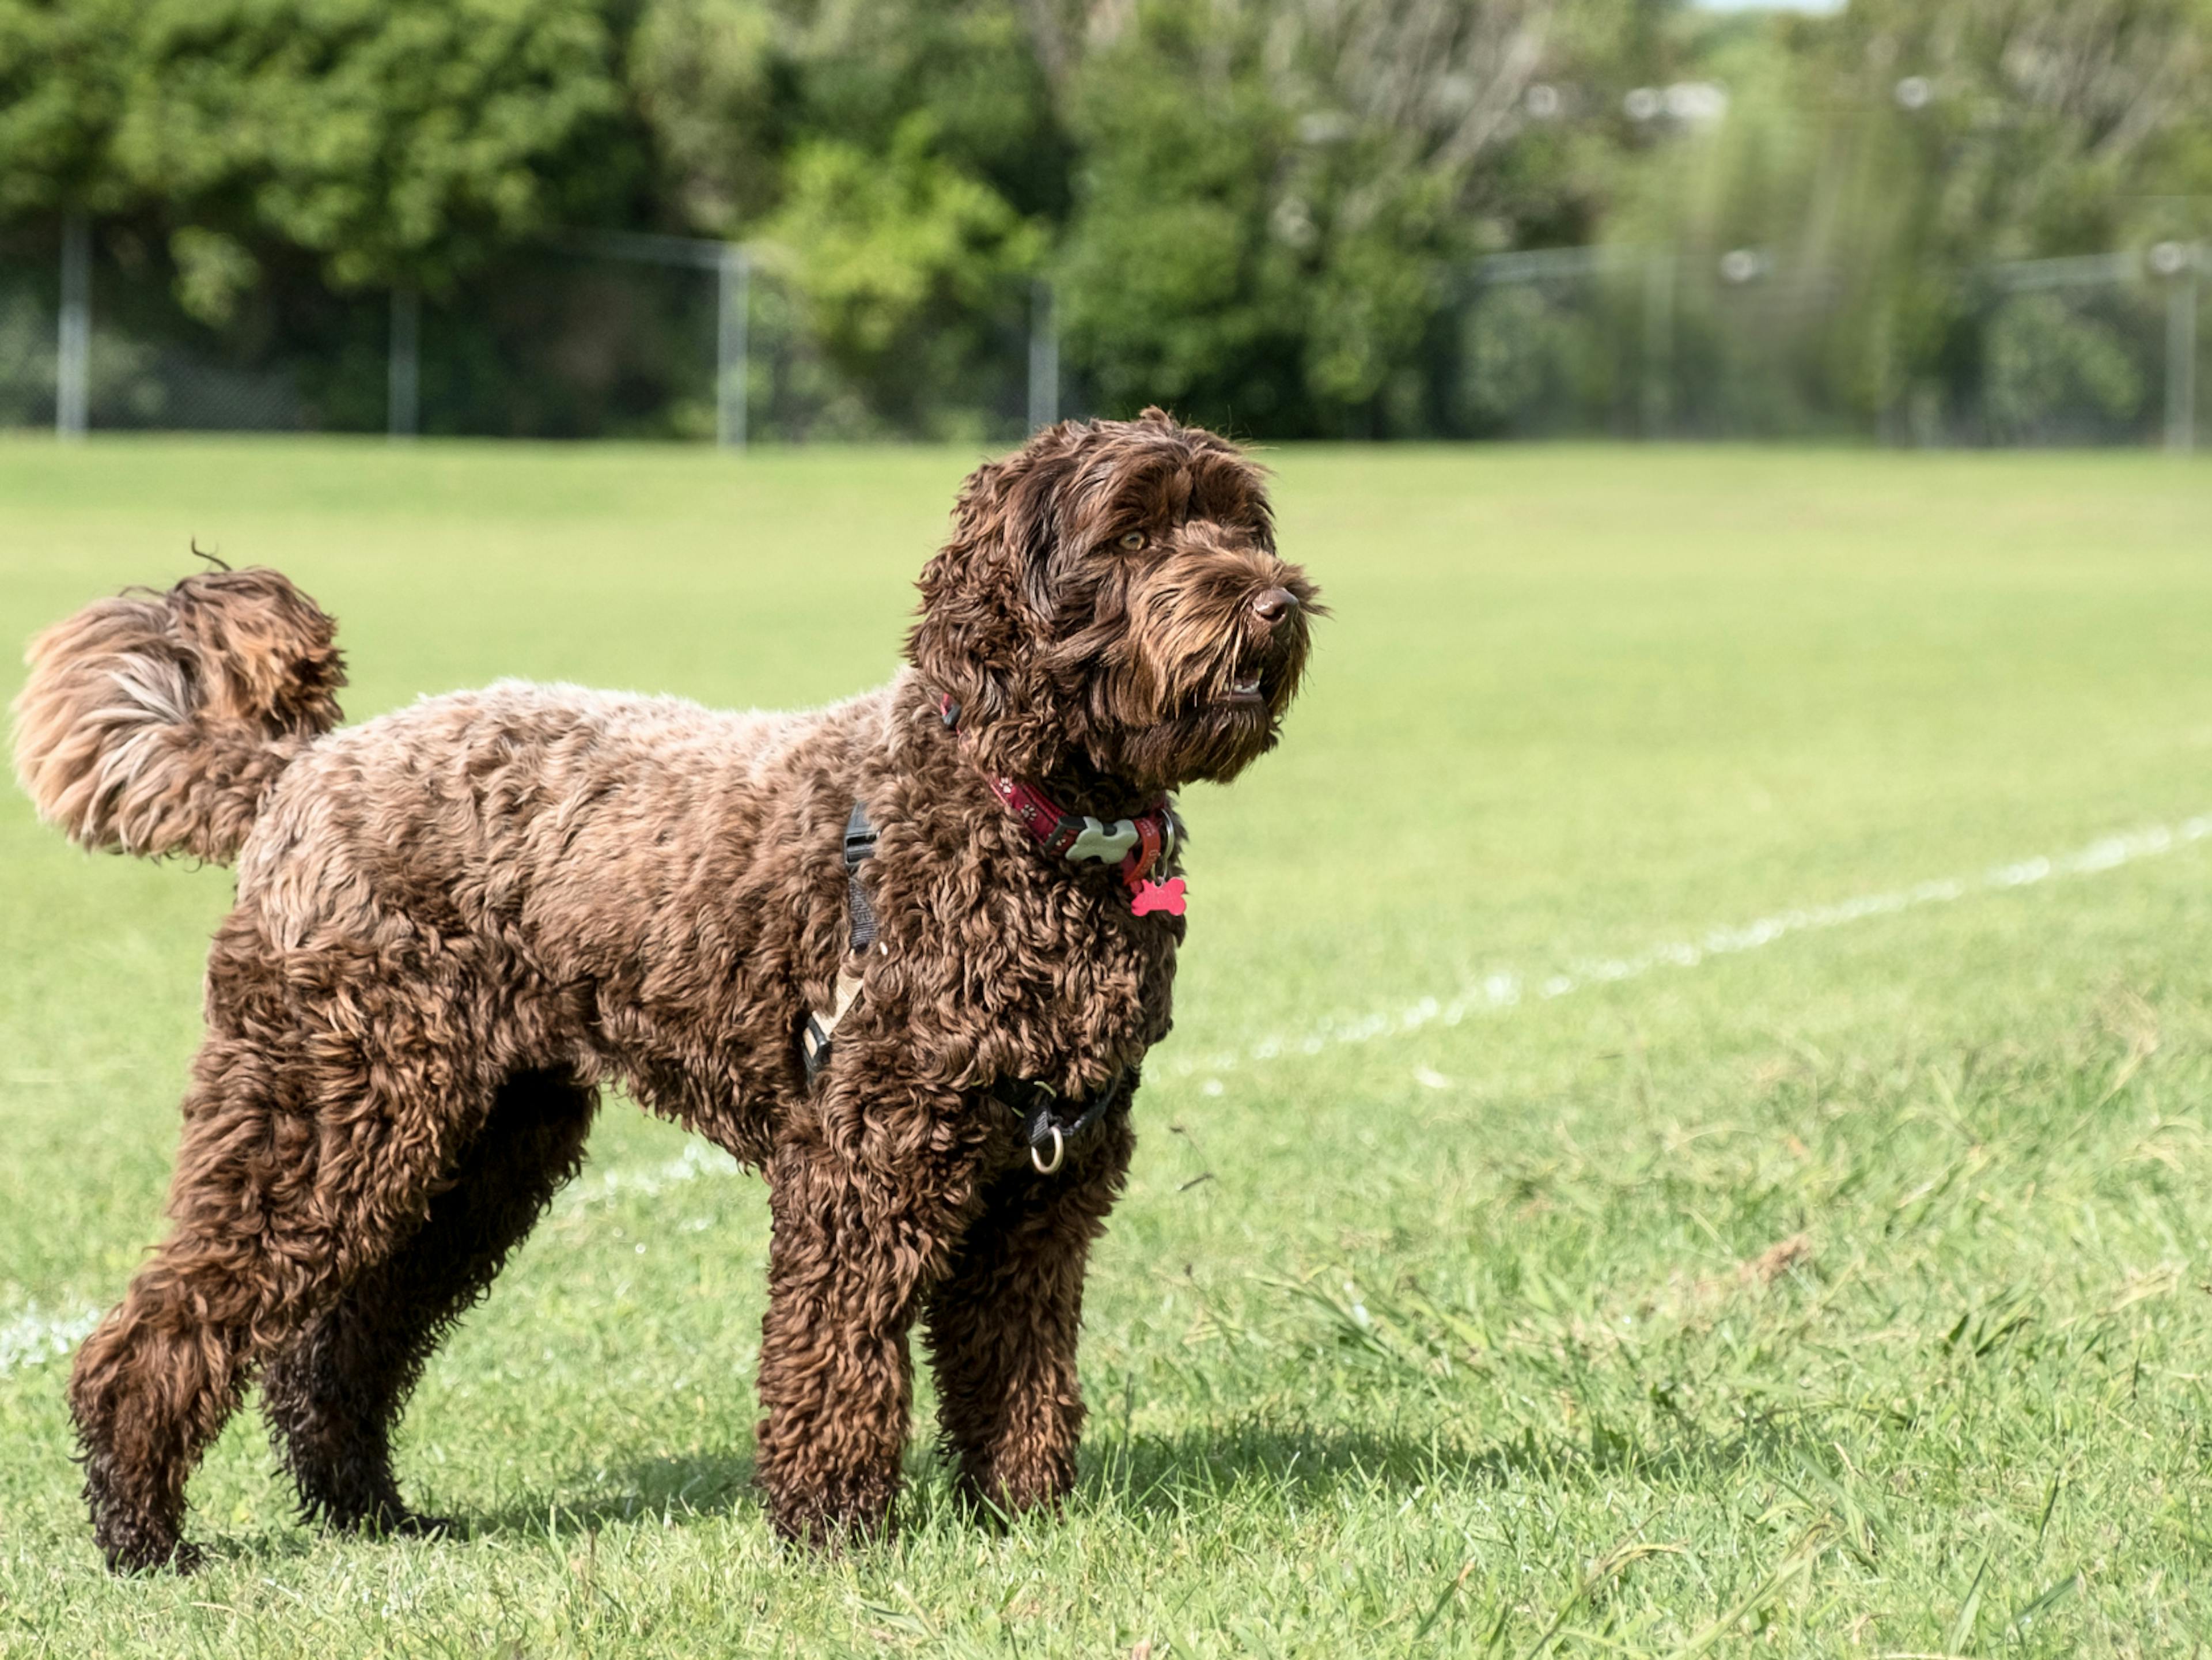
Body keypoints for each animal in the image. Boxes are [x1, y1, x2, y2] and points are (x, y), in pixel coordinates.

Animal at [13, 414, 1309, 1576]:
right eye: (1131, 535)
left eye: (1238, 522)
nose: (1274, 602)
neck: (1026, 817)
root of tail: (301, 769)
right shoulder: (863, 1165)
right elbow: (838, 1352)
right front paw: (835, 1531)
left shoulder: (1049, 1185)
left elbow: (1018, 1363)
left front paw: (1020, 1516)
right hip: (322, 1115)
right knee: (167, 1329)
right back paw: (141, 1532)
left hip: (477, 1150)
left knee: (338, 1347)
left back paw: (369, 1512)